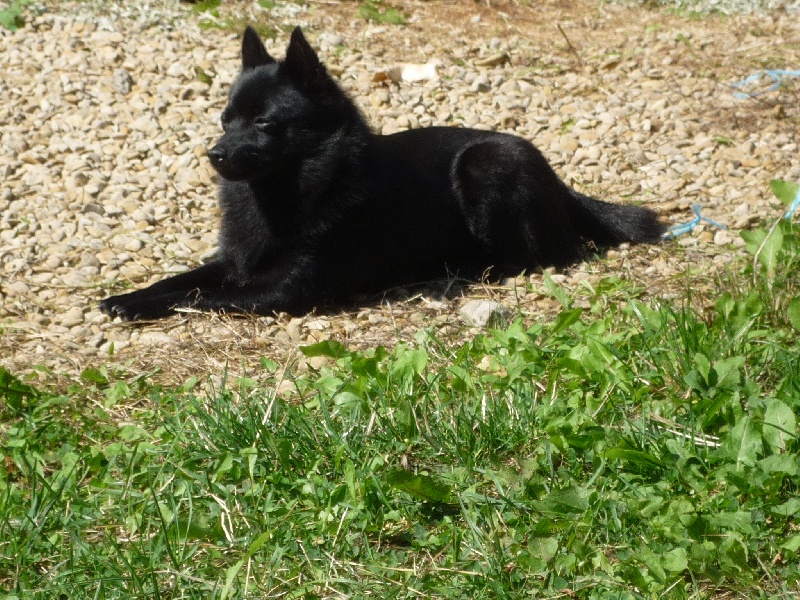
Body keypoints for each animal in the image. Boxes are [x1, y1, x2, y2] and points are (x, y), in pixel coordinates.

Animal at [100, 26, 665, 321]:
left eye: (262, 122)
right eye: (225, 119)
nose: (214, 154)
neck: (287, 191)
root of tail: (562, 186)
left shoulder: (285, 291)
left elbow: (197, 298)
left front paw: (145, 307)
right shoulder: (235, 263)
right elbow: (182, 280)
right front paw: (126, 298)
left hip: (488, 163)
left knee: (537, 256)